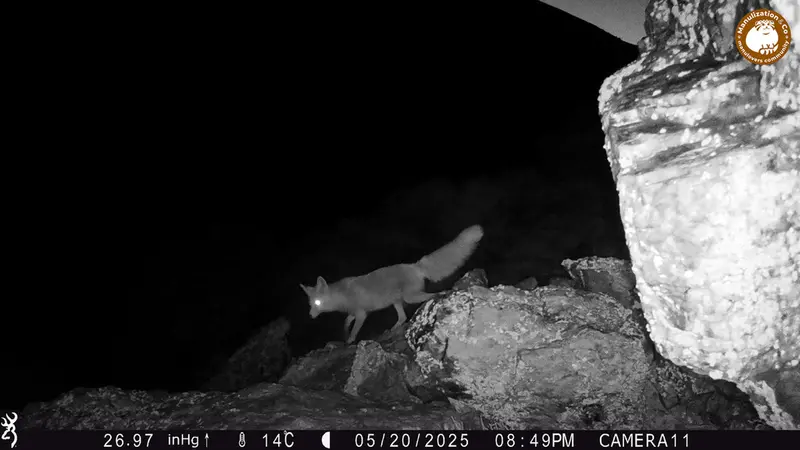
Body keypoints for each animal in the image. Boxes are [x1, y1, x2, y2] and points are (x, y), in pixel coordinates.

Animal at [300, 225, 484, 344]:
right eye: (311, 304)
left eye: (317, 303)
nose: (310, 315)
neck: (343, 295)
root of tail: (415, 266)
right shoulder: (355, 312)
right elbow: (346, 322)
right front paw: (345, 333)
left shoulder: (362, 314)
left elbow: (355, 329)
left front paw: (350, 339)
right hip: (397, 302)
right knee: (402, 318)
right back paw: (391, 330)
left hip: (409, 298)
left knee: (431, 296)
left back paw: (442, 295)